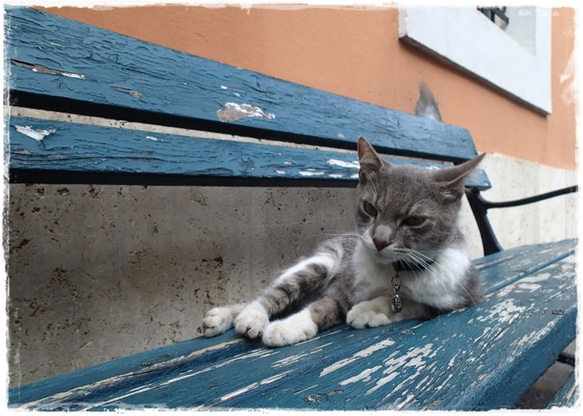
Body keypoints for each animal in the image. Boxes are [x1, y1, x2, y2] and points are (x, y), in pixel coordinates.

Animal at [203, 136, 486, 348]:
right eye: (370, 208)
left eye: (414, 220)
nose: (379, 240)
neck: (396, 272)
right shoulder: (345, 282)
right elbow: (325, 305)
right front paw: (289, 326)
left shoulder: (462, 295)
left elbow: (409, 303)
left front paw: (368, 310)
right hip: (322, 262)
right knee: (273, 291)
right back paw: (243, 315)